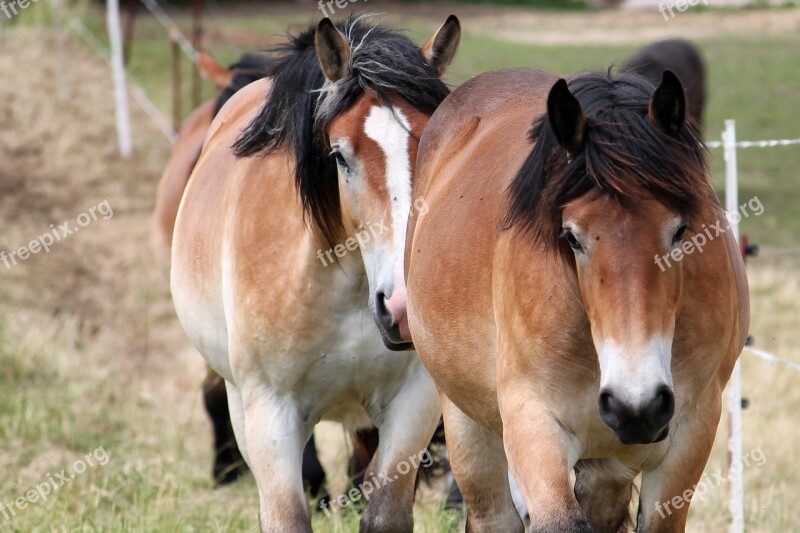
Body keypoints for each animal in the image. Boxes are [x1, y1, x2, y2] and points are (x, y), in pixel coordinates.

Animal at [406, 68, 752, 528]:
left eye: (681, 231)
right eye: (571, 237)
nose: (636, 404)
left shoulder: (690, 435)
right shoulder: (532, 423)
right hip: (467, 427)